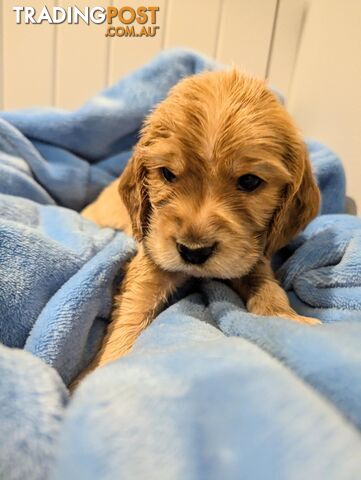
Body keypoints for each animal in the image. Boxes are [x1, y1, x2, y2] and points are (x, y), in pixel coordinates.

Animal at [79, 68, 320, 378]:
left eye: (249, 181)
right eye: (168, 174)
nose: (193, 252)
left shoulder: (252, 254)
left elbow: (267, 285)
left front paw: (285, 318)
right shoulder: (152, 253)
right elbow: (132, 310)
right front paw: (104, 367)